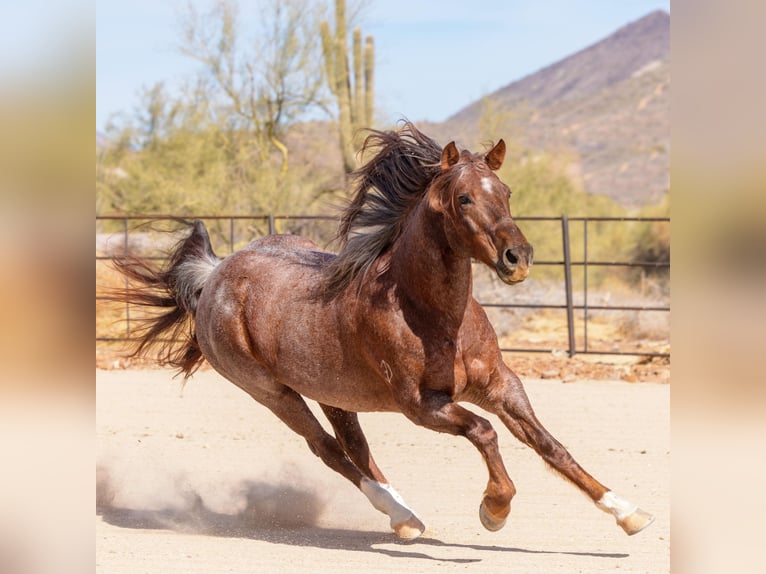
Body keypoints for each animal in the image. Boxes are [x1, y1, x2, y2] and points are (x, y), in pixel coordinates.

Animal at [111, 120, 656, 540]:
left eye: (505, 192)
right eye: (463, 199)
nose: (517, 258)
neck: (434, 317)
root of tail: (216, 275)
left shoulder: (502, 385)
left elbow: (549, 446)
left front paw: (629, 512)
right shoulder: (422, 405)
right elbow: (484, 432)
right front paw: (494, 509)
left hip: (331, 390)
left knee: (356, 448)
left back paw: (404, 517)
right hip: (272, 392)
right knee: (328, 450)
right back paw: (401, 515)